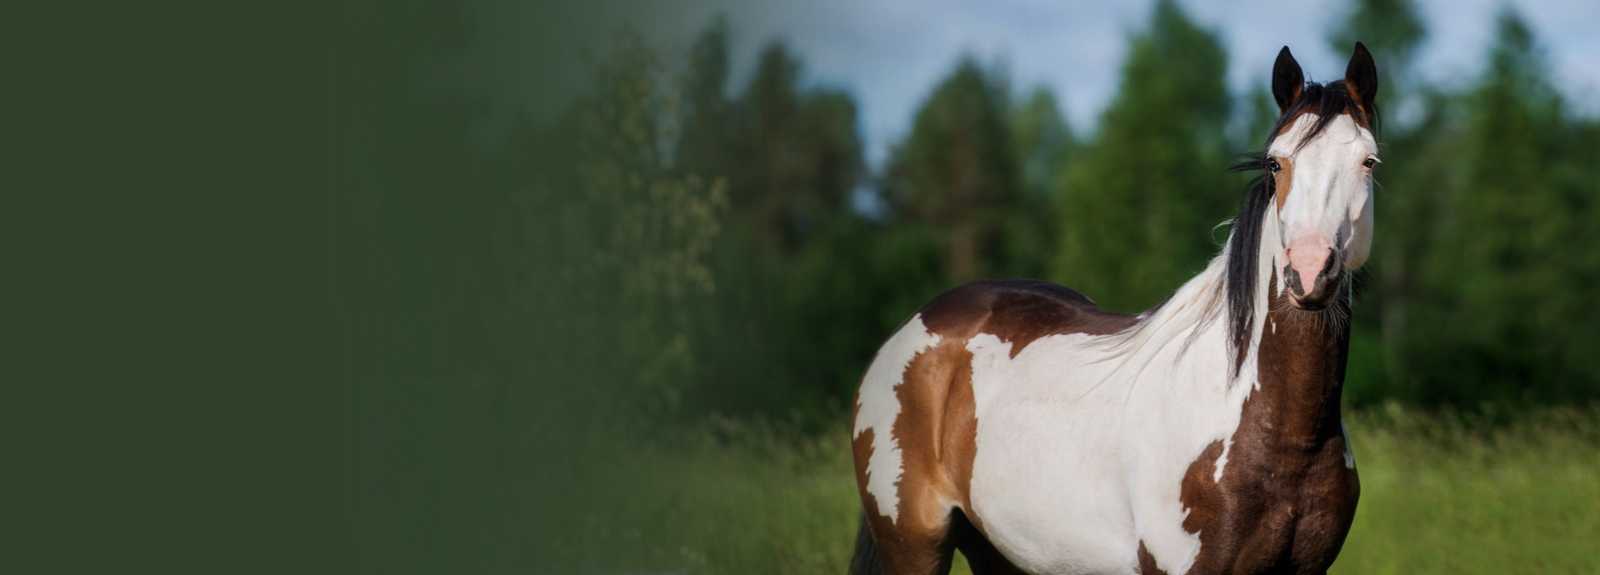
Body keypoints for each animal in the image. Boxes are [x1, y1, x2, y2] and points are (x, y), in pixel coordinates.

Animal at [848, 43, 1381, 575]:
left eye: (1369, 161)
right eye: (1275, 164)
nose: (1309, 271)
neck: (1283, 434)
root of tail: (912, 327)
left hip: (996, 550)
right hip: (913, 544)